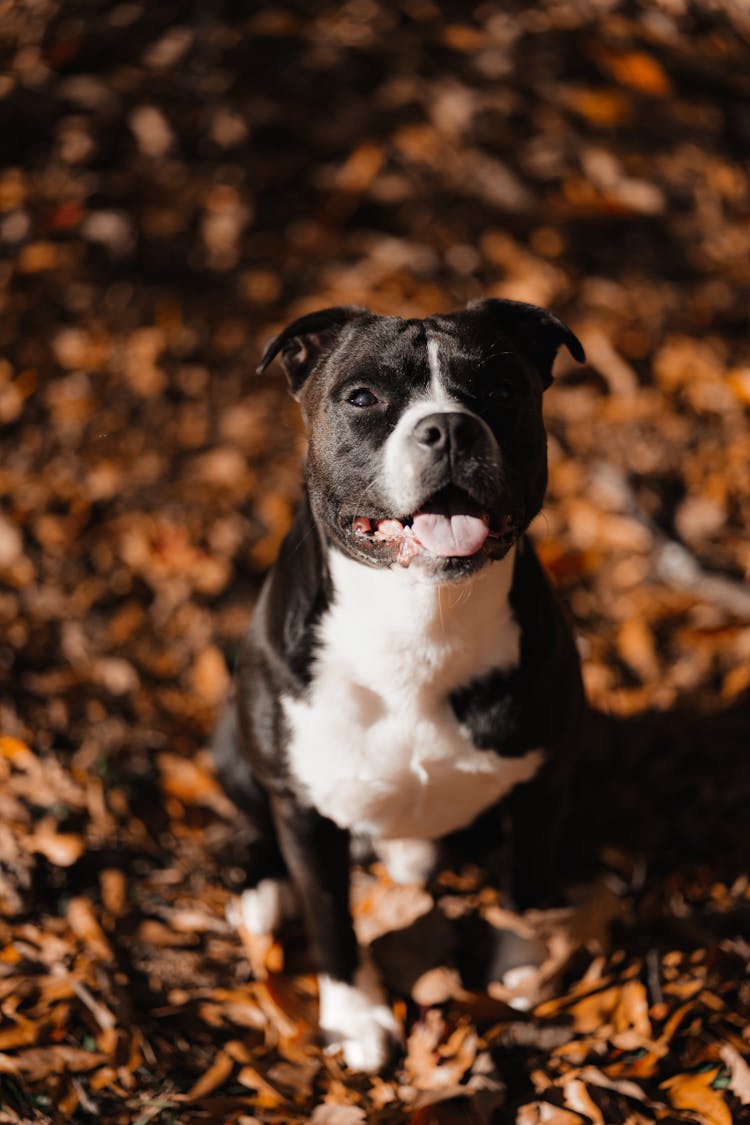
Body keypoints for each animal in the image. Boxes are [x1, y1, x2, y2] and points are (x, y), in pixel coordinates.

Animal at [211, 299, 584, 1071]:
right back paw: (264, 888)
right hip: (232, 743)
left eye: (501, 387)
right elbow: (331, 917)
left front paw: (519, 968)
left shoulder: (544, 779)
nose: (449, 427)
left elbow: (526, 884)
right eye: (362, 398)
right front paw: (355, 1015)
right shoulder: (303, 808)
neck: (419, 619)